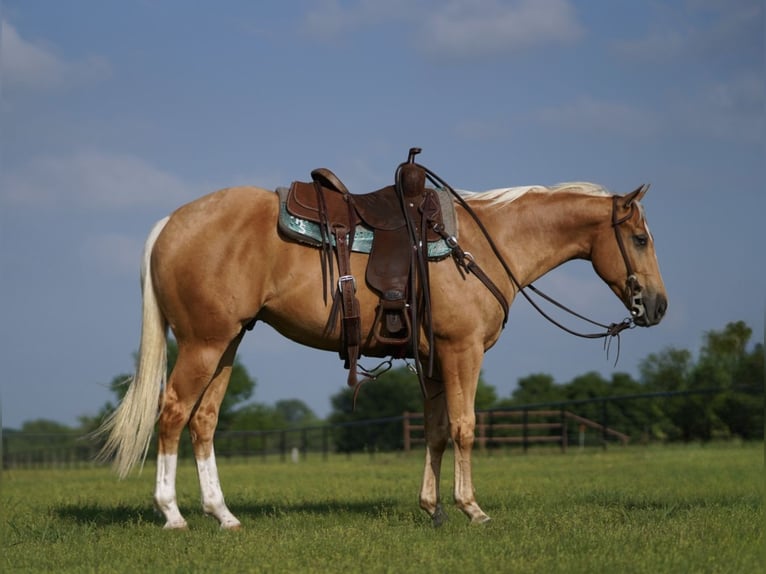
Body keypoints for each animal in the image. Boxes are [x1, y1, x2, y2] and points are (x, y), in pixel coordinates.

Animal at [96, 176, 664, 532]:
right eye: (639, 238)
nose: (657, 305)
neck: (484, 245)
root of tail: (172, 222)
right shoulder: (462, 352)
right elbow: (464, 427)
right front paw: (472, 509)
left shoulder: (434, 361)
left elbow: (436, 431)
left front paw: (433, 508)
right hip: (203, 343)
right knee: (172, 414)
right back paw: (173, 515)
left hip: (226, 343)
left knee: (204, 420)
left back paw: (223, 515)